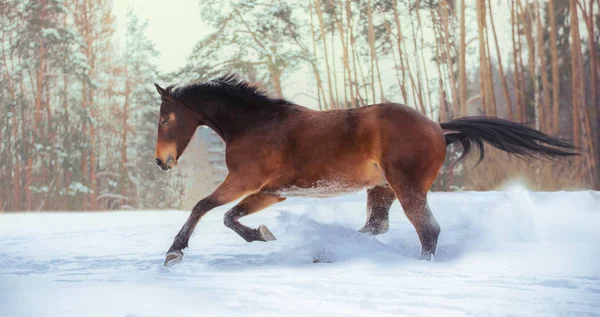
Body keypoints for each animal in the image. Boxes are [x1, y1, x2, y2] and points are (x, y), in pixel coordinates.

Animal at [155, 73, 576, 266]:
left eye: (164, 118)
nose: (161, 161)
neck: (255, 124)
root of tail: (436, 127)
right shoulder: (272, 191)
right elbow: (230, 216)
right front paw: (261, 234)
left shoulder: (245, 180)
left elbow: (204, 207)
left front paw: (174, 252)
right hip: (383, 188)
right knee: (377, 226)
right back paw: (330, 251)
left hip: (406, 186)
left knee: (427, 229)